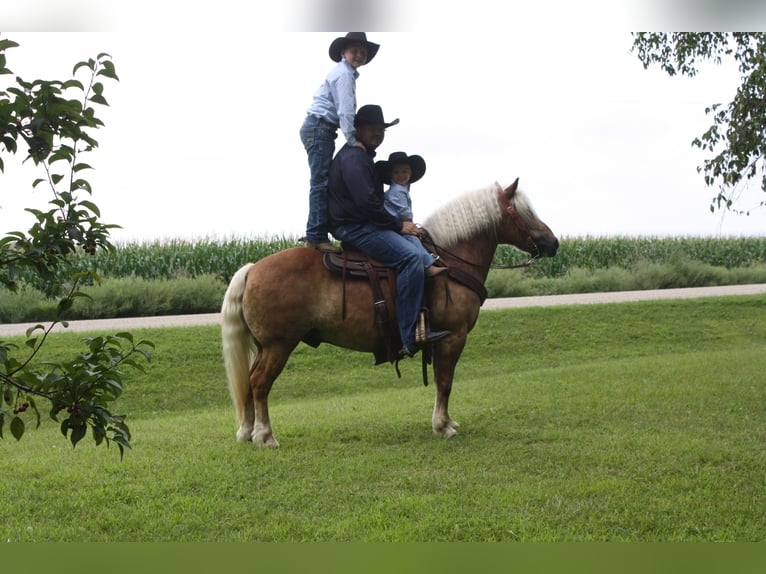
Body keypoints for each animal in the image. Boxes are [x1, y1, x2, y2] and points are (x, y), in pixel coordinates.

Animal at [220, 179, 560, 446]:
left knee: (249, 381)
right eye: (525, 212)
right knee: (260, 383)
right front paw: (443, 426)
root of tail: (253, 269)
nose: (553, 242)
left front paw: (445, 422)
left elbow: (442, 380)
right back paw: (265, 436)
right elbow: (445, 381)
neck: (448, 262)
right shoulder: (452, 337)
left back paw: (247, 432)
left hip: (264, 346)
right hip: (278, 345)